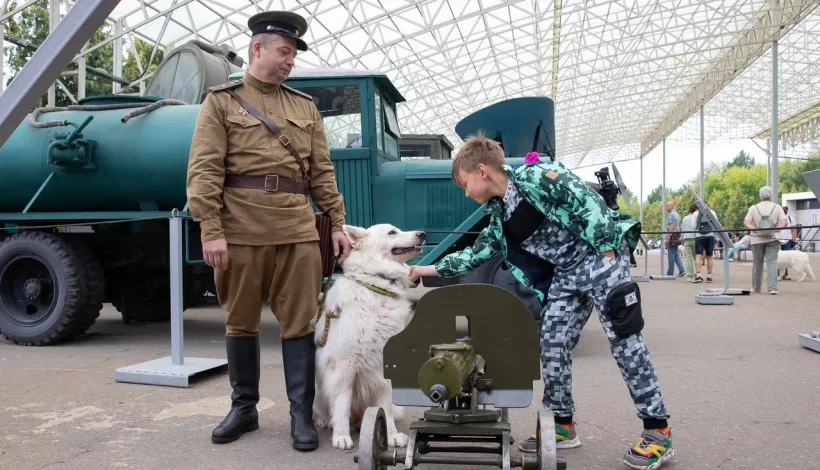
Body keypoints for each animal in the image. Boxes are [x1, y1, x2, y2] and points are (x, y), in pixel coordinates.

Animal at [312, 224, 426, 452]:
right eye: (392, 232)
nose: (423, 234)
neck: (378, 286)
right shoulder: (343, 367)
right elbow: (342, 404)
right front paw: (341, 436)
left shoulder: (386, 369)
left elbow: (386, 408)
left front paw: (391, 435)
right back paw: (324, 421)